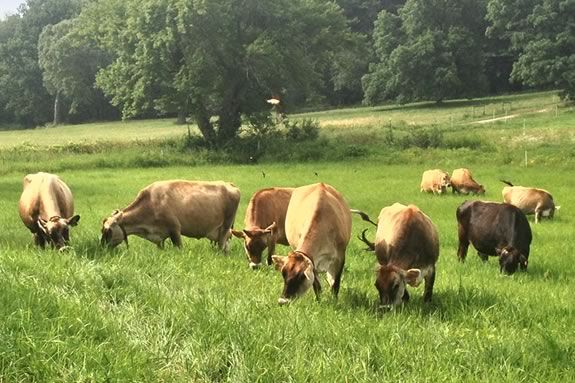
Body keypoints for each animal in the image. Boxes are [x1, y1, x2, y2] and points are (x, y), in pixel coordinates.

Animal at [100, 181, 240, 252]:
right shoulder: (159, 236)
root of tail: (230, 184)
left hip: (226, 226)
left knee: (222, 244)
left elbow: (179, 248)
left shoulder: (175, 229)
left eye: (108, 231)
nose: (101, 248)